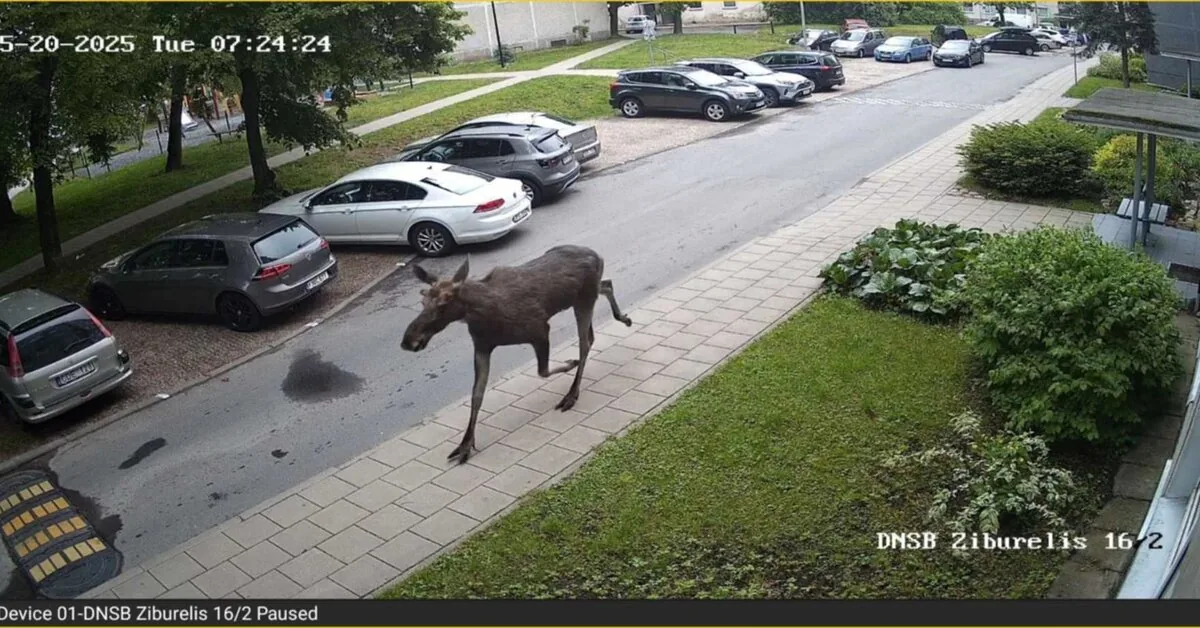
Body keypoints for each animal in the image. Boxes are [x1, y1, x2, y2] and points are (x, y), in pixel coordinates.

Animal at [401, 245, 634, 465]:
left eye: (445, 302)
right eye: (423, 300)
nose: (408, 341)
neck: (483, 316)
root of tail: (596, 254)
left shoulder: (539, 329)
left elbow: (543, 371)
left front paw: (570, 363)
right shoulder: (482, 346)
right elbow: (477, 395)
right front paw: (465, 445)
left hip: (584, 298)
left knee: (585, 342)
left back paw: (571, 394)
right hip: (584, 297)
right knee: (606, 287)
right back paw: (623, 317)